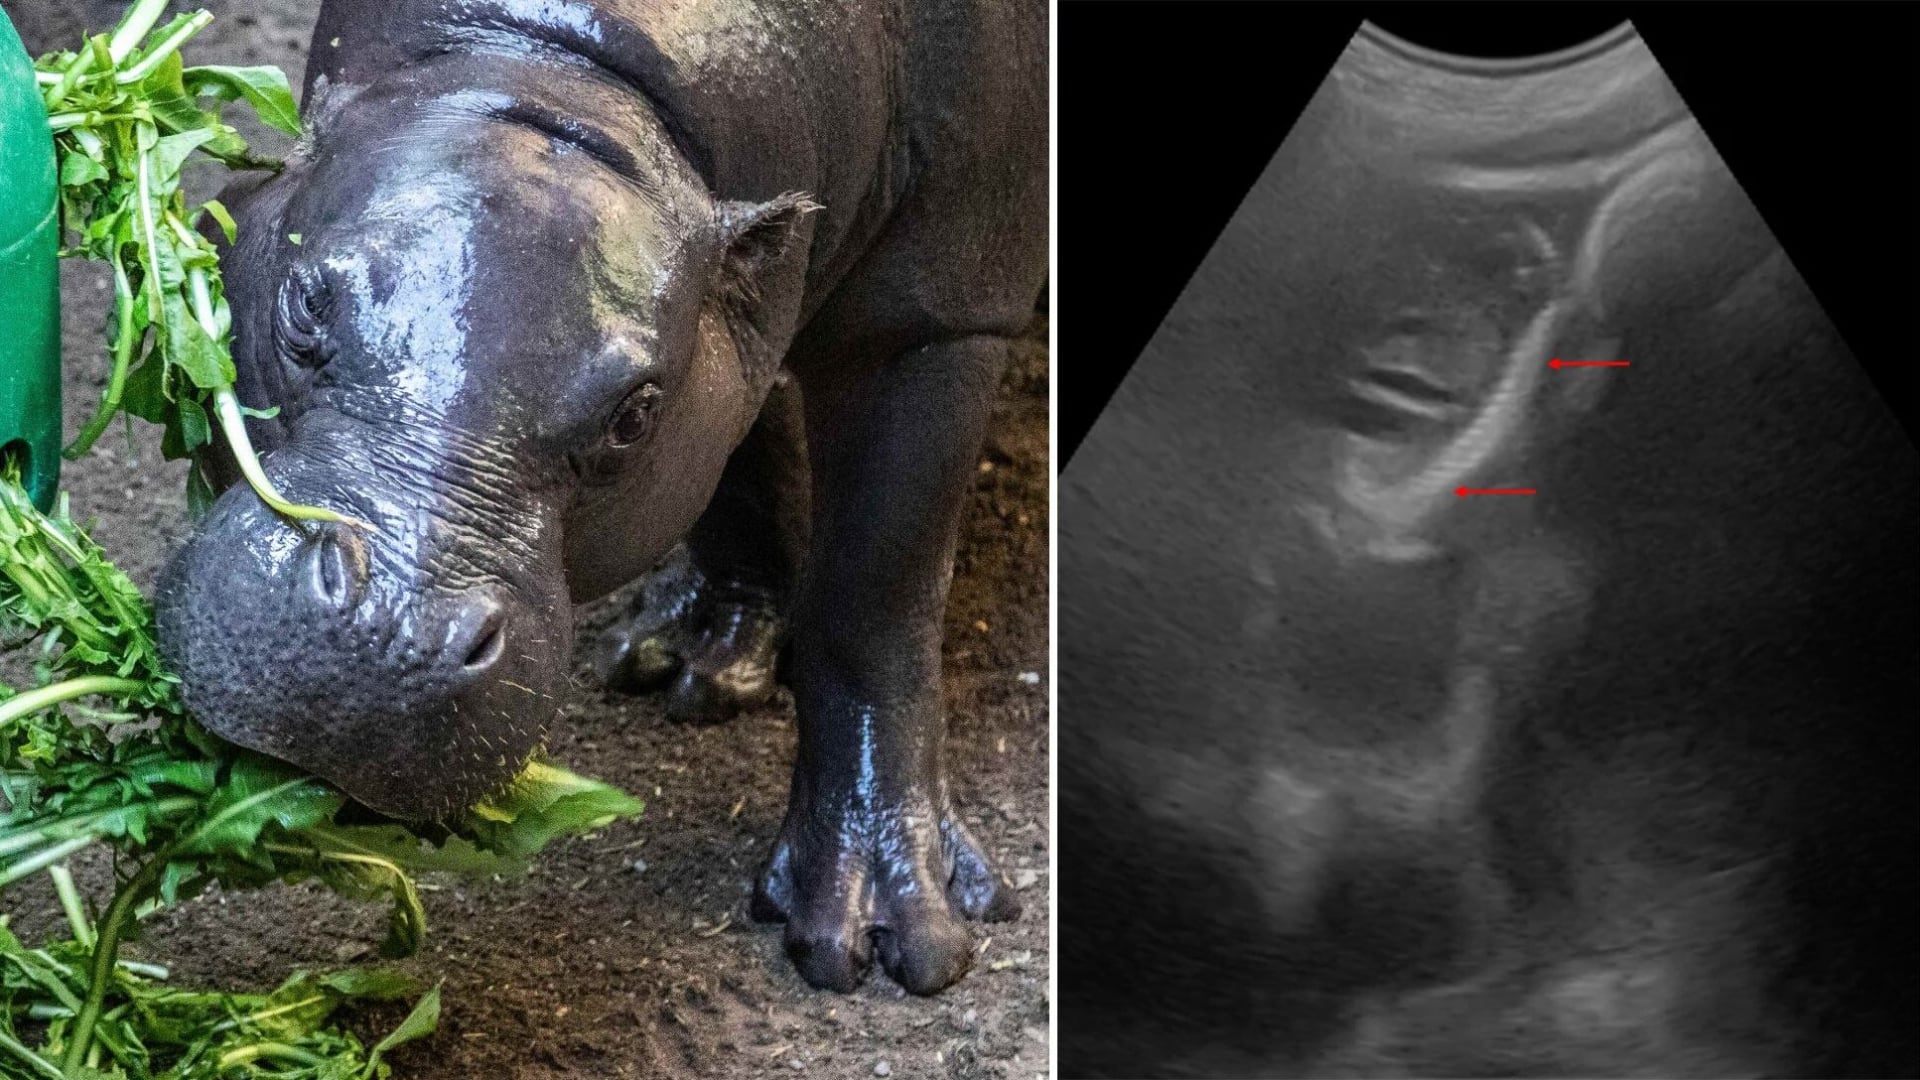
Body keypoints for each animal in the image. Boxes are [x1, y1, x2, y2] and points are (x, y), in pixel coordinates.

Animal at [155, 0, 1046, 995]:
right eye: (308, 300)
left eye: (635, 412)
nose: (388, 635)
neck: (554, 73)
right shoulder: (737, 325)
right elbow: (736, 471)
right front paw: (703, 659)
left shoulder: (936, 319)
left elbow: (873, 599)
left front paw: (889, 929)